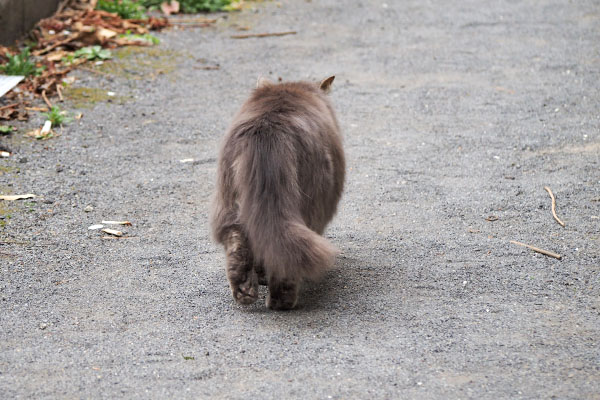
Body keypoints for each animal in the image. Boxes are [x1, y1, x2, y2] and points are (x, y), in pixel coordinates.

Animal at [210, 76, 344, 310]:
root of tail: (267, 133)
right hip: (307, 205)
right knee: (288, 255)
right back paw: (281, 302)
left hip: (229, 202)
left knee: (238, 241)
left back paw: (245, 290)